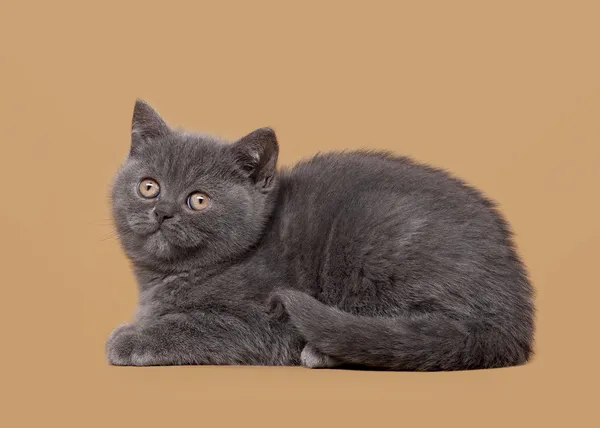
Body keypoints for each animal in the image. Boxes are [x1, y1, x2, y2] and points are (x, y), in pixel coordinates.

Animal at [106, 100, 536, 372]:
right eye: (149, 187)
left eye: (198, 200)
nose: (162, 211)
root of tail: (515, 319)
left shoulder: (256, 323)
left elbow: (193, 325)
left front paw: (130, 339)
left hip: (378, 239)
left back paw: (323, 352)